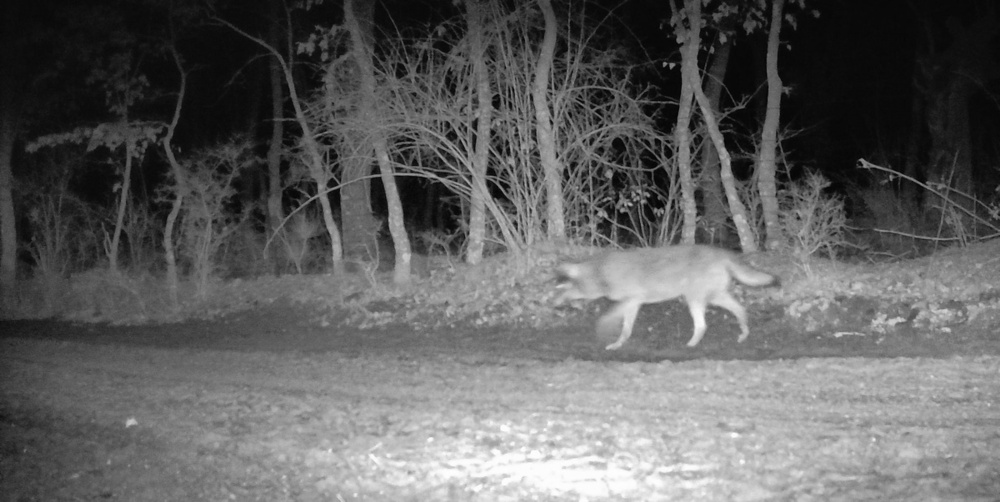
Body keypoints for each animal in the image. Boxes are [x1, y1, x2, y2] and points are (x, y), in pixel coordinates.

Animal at [556, 246, 780, 350]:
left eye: (565, 287)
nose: (555, 302)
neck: (602, 271)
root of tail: (722, 253)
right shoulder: (633, 304)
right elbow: (626, 330)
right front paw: (618, 344)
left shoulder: (629, 301)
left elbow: (605, 320)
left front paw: (604, 335)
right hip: (715, 298)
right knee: (740, 310)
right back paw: (743, 334)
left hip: (694, 300)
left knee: (702, 326)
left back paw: (690, 345)